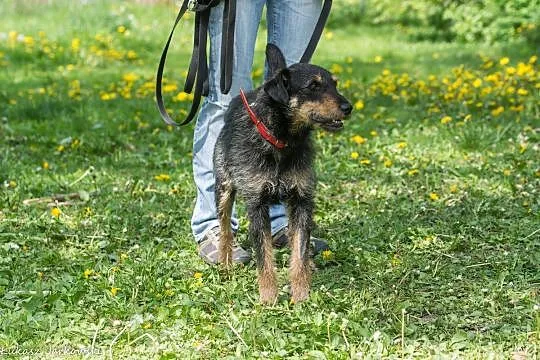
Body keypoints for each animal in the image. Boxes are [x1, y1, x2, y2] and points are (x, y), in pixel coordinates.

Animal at [213, 43, 352, 306]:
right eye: (313, 86)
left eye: (335, 84)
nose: (348, 108)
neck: (282, 141)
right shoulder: (257, 204)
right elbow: (264, 255)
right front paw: (268, 297)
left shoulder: (301, 201)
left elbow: (299, 250)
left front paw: (301, 294)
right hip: (223, 187)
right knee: (225, 229)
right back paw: (225, 264)